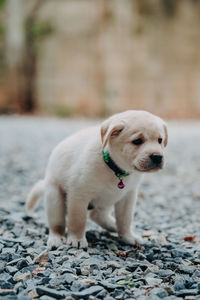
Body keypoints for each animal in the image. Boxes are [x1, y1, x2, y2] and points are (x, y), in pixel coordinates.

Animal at [26, 110, 167, 248]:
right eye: (137, 141)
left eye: (160, 140)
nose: (157, 157)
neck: (114, 168)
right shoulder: (79, 194)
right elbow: (78, 220)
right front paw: (77, 239)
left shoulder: (128, 196)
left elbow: (125, 219)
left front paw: (128, 236)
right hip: (54, 198)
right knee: (57, 224)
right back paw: (56, 238)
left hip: (110, 197)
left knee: (96, 215)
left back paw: (113, 225)